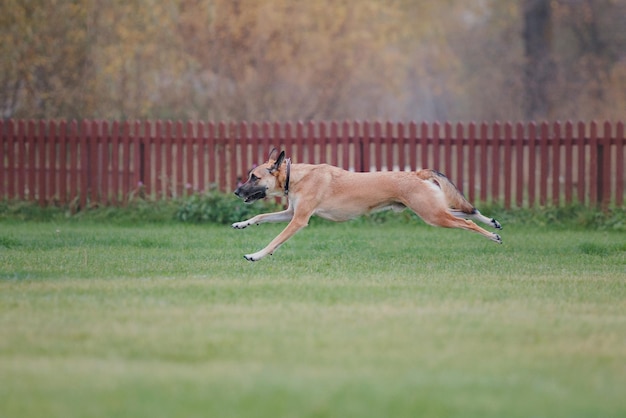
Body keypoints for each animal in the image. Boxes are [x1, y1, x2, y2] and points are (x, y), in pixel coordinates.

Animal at [234, 150, 502, 262]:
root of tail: (416, 173)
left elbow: (274, 240)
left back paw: (492, 236)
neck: (296, 176)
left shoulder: (298, 219)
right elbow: (261, 217)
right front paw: (242, 223)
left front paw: (255, 255)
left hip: (433, 215)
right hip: (433, 211)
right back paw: (492, 222)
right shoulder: (290, 212)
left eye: (254, 177)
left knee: (465, 221)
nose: (236, 192)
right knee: (466, 212)